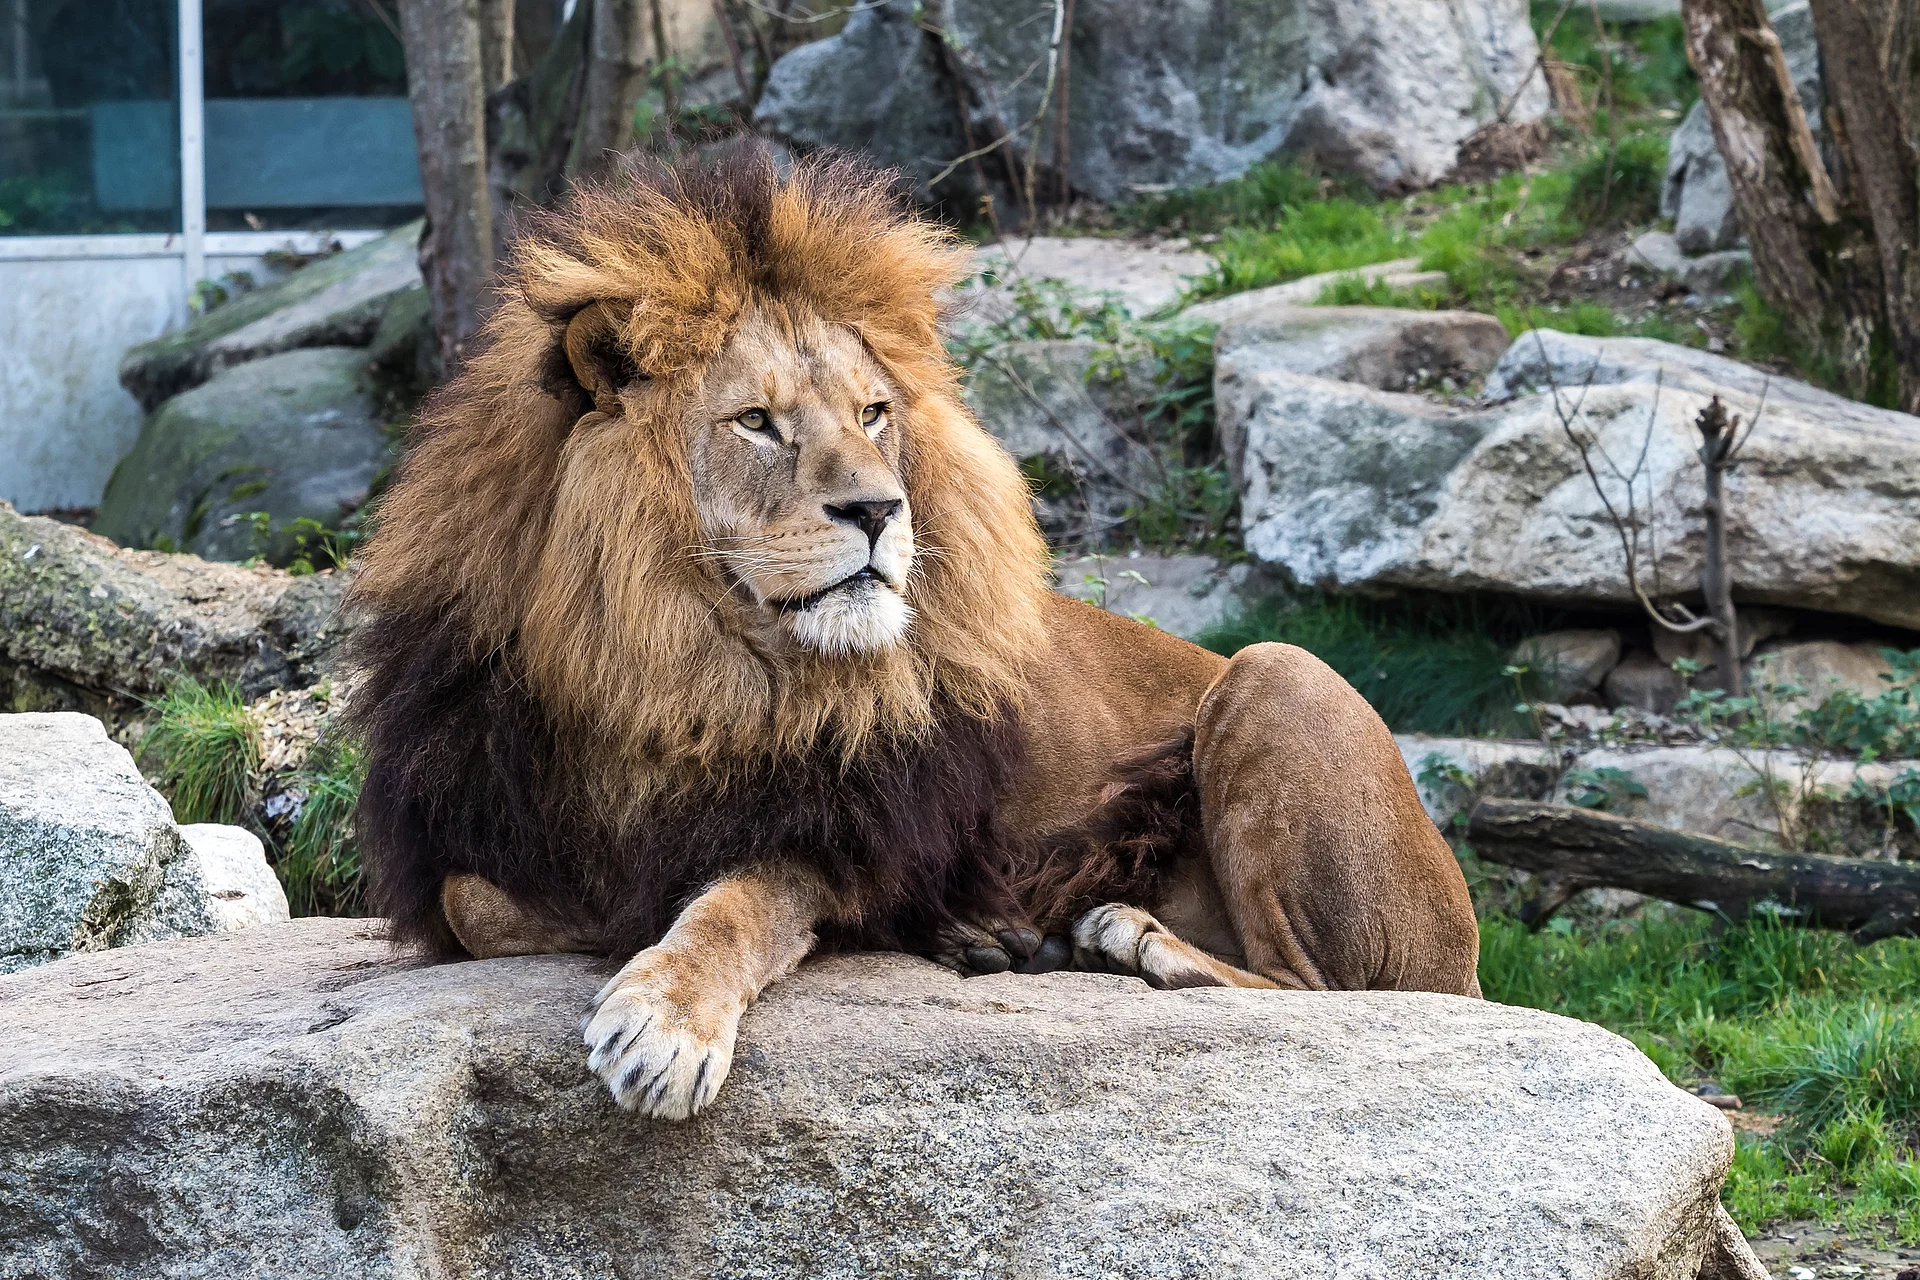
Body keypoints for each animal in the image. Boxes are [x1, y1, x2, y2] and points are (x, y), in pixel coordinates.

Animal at [345, 146, 1480, 1122]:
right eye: (757, 422)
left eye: (873, 413)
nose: (879, 509)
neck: (669, 664)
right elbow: (478, 900)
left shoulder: (840, 833)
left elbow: (733, 903)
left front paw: (663, 1016)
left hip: (1275, 673)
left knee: (1325, 993)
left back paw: (1127, 938)